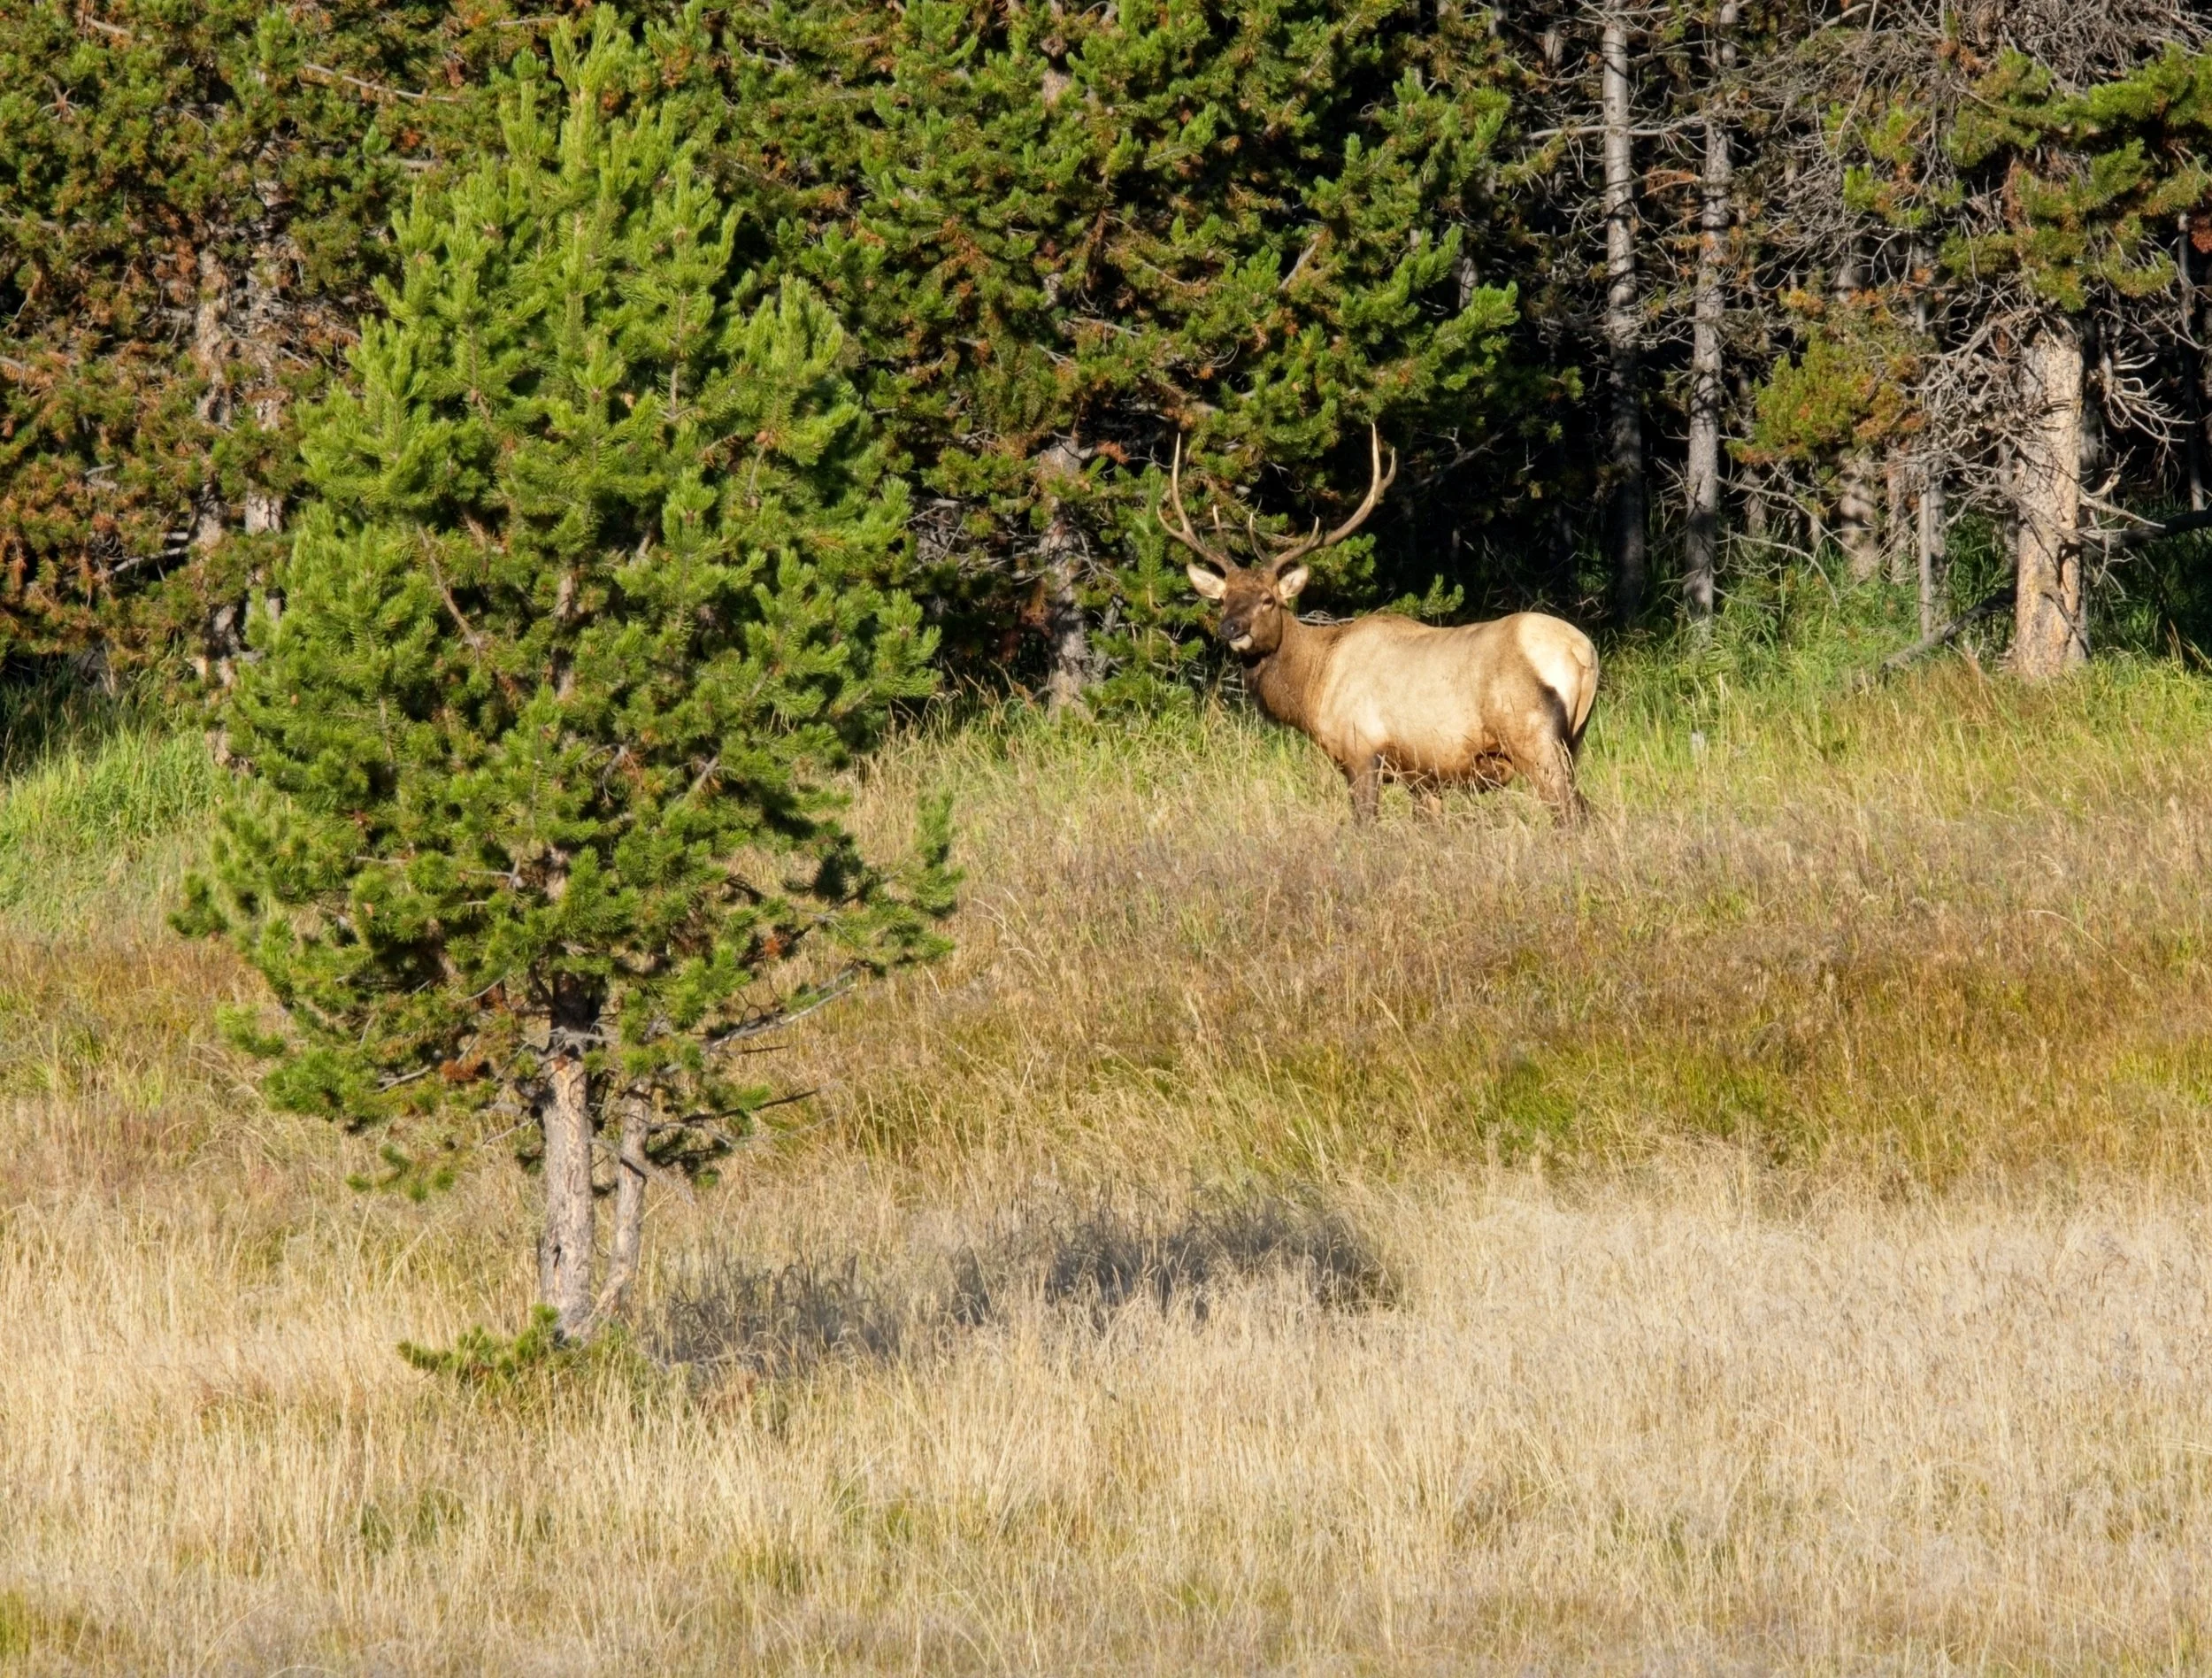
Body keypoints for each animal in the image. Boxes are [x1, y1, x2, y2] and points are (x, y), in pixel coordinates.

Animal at [1166, 427, 1599, 824]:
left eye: (1268, 600)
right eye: (1223, 599)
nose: (1231, 629)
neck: (1314, 685)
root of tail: (1582, 652)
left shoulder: (1360, 750)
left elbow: (1365, 825)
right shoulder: (1420, 774)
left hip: (1534, 738)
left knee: (1572, 814)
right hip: (1574, 739)